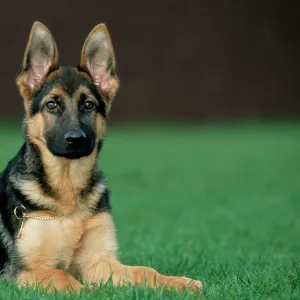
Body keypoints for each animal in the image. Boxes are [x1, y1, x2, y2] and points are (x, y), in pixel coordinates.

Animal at [0, 21, 203, 292]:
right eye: (52, 104)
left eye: (89, 105)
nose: (75, 139)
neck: (67, 189)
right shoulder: (24, 271)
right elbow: (64, 278)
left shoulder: (99, 261)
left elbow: (144, 271)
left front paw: (176, 282)